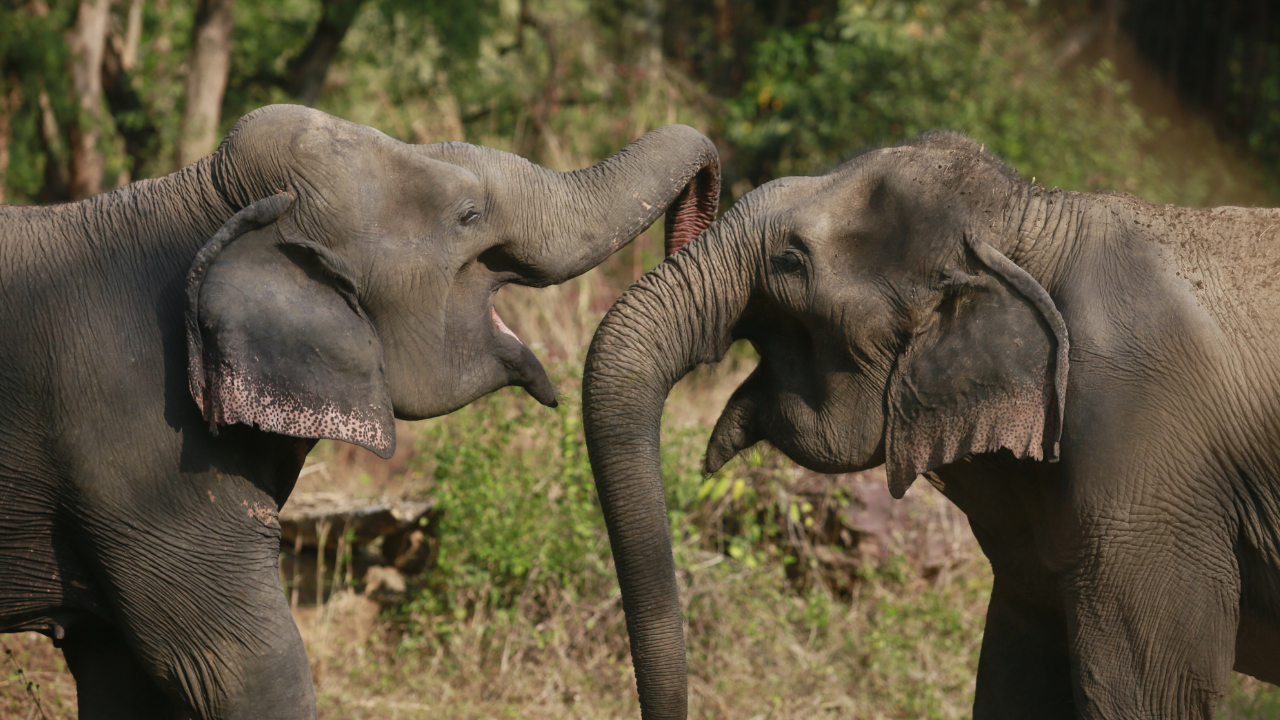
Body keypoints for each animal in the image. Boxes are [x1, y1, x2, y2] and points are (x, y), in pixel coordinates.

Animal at [0, 104, 719, 720]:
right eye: (467, 214)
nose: (697, 213)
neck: (200, 199)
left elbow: (119, 671)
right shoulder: (144, 457)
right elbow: (243, 669)